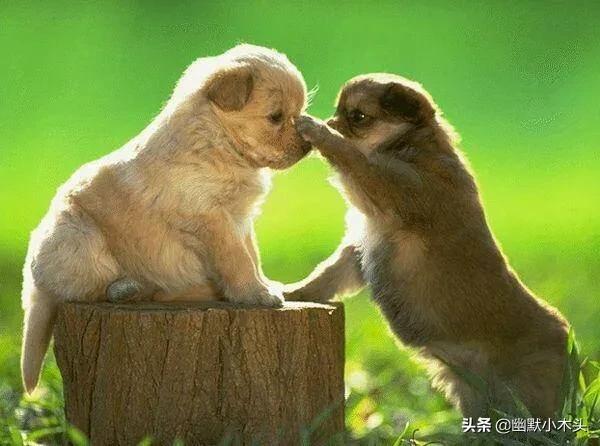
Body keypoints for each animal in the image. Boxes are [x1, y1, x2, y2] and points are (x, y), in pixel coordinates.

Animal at [21, 44, 310, 393]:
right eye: (275, 117)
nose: (308, 144)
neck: (218, 141)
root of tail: (35, 281)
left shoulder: (241, 220)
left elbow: (253, 256)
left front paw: (266, 284)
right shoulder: (212, 219)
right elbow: (238, 260)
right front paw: (256, 294)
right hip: (78, 235)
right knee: (93, 287)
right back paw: (132, 289)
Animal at [287, 74, 569, 417]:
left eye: (358, 117)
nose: (330, 122)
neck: (408, 143)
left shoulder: (390, 189)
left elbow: (355, 159)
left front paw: (319, 132)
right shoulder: (358, 252)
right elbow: (326, 277)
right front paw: (293, 294)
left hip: (527, 395)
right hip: (472, 394)